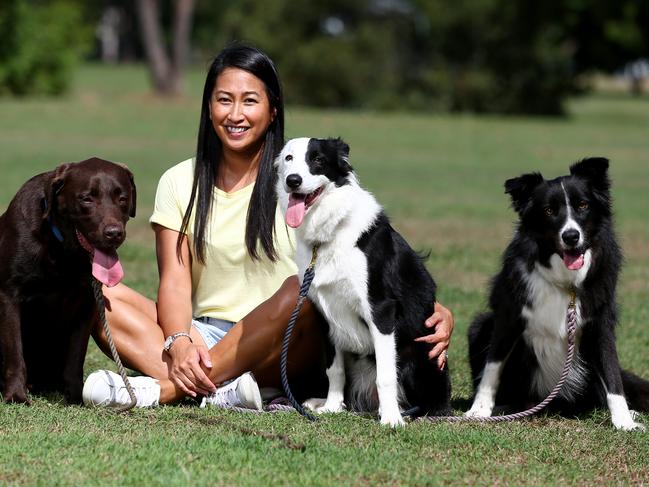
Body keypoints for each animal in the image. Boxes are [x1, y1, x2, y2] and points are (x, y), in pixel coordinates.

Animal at [0, 157, 135, 404]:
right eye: (87, 198)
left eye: (122, 198)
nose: (114, 233)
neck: (62, 248)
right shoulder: (8, 295)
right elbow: (14, 352)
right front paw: (16, 395)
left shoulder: (87, 302)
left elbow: (76, 355)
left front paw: (74, 396)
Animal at [274, 137, 450, 428]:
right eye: (289, 158)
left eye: (318, 160)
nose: (293, 180)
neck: (329, 233)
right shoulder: (324, 312)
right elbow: (334, 369)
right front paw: (332, 407)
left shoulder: (380, 309)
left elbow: (386, 374)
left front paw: (391, 419)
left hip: (420, 352)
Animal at [466, 157, 648, 430]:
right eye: (549, 211)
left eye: (583, 205)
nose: (571, 236)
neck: (566, 282)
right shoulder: (508, 317)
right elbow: (492, 367)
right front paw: (479, 410)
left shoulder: (600, 324)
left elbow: (612, 373)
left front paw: (624, 421)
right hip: (480, 326)